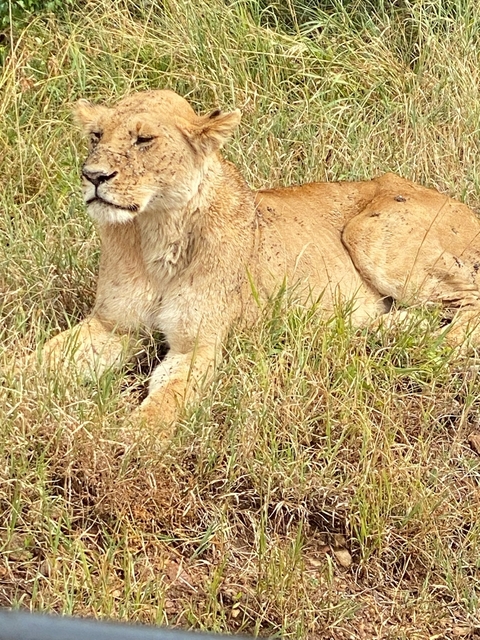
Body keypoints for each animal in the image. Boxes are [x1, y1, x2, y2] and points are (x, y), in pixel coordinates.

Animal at [40, 89, 480, 428]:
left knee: (468, 309)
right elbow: (39, 361)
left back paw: (413, 343)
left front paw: (127, 446)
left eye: (144, 139)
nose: (92, 176)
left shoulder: (199, 346)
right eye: (96, 136)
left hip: (367, 234)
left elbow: (162, 407)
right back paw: (380, 329)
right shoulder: (112, 325)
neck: (153, 232)